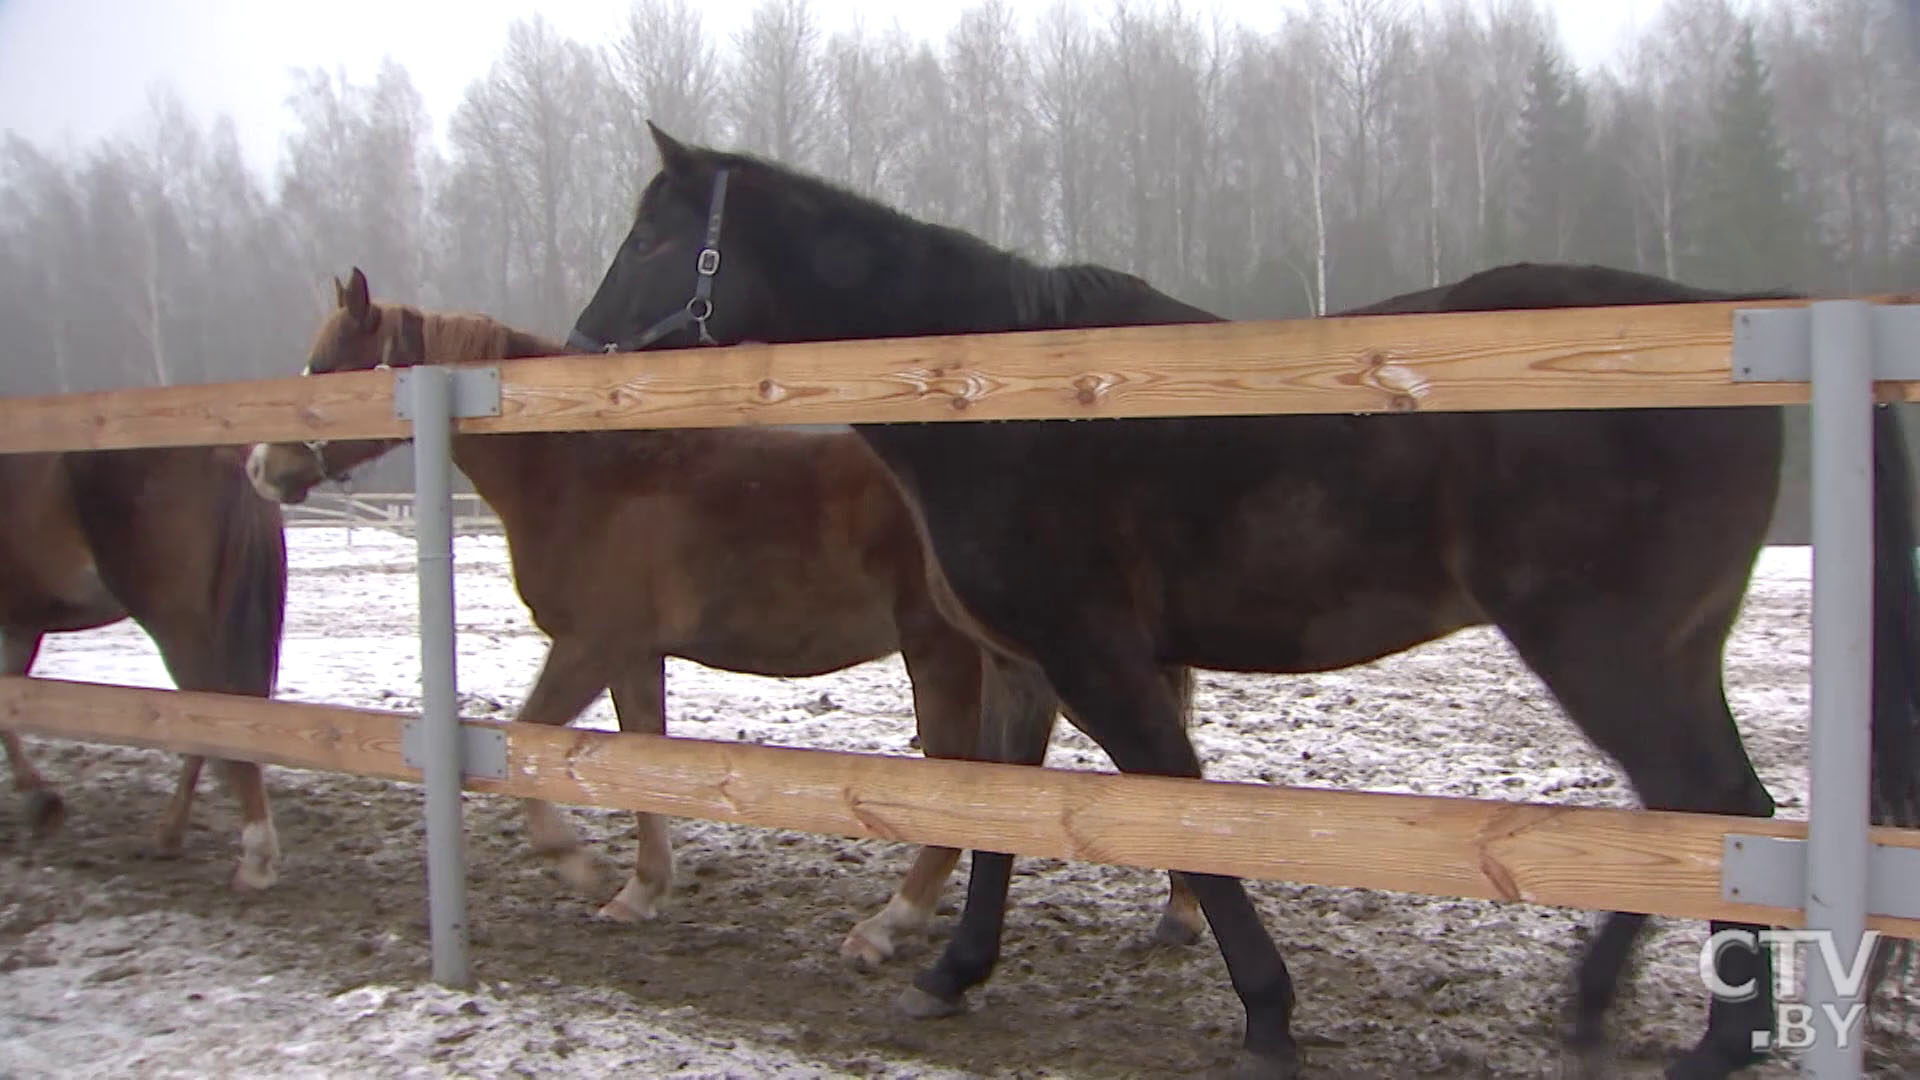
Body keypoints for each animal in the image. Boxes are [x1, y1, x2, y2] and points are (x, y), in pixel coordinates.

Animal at [0, 441, 288, 887]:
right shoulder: (20, 624)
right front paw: (39, 801)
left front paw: (39, 799)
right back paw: (174, 834)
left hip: (180, 625)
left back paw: (252, 854)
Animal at [240, 267, 1198, 957]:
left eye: (331, 367)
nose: (262, 467)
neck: (588, 470)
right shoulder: (632, 657)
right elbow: (639, 762)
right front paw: (638, 891)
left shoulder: (588, 647)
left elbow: (528, 744)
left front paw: (580, 868)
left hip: (952, 656)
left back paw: (891, 926)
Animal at [568, 122, 1920, 1068]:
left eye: (651, 239)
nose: (581, 356)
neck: (1005, 395)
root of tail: (1760, 318)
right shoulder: (1025, 664)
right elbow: (1003, 815)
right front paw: (953, 972)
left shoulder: (1104, 661)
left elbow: (1187, 824)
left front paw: (1269, 1014)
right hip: (1661, 655)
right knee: (1707, 814)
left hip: (1608, 649)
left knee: (1713, 811)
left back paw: (1692, 1039)